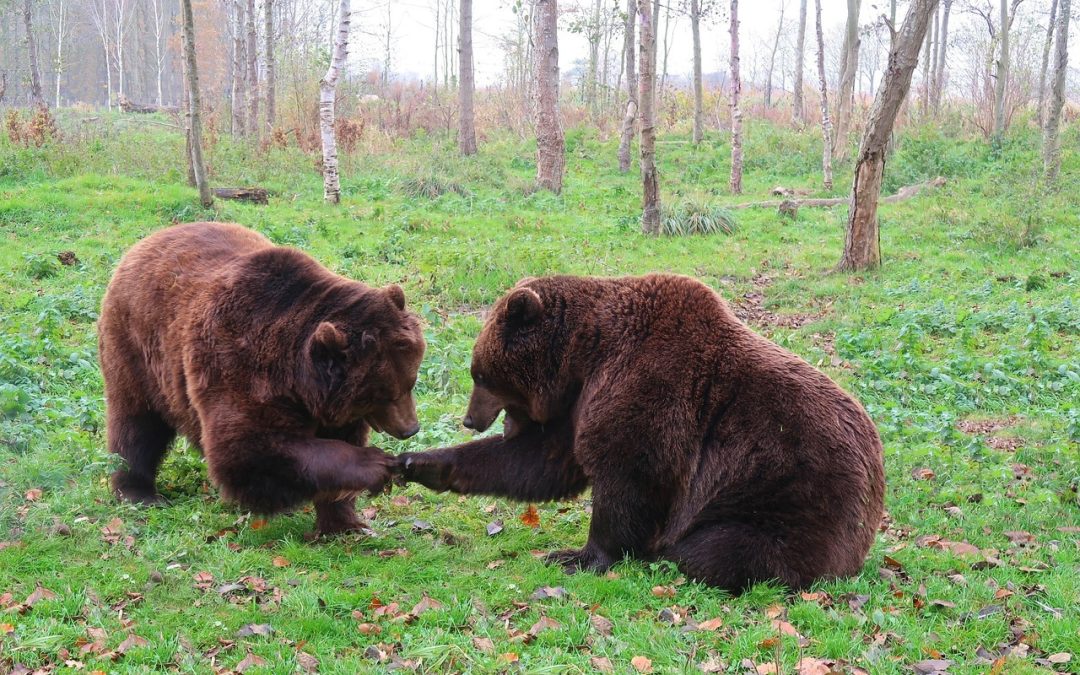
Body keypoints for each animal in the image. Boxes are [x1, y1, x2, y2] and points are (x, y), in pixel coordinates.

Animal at [99, 223, 423, 533]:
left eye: (411, 381)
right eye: (383, 394)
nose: (410, 428)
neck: (298, 381)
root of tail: (144, 242)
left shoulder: (331, 406)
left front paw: (346, 523)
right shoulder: (239, 367)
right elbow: (249, 450)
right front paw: (375, 464)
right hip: (138, 350)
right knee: (137, 424)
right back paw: (138, 492)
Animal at [401, 274, 881, 587]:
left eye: (479, 374)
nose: (470, 419)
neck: (585, 354)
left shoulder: (648, 389)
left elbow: (630, 476)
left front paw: (577, 555)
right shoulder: (581, 404)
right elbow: (541, 462)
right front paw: (419, 462)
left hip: (787, 497)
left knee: (716, 551)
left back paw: (671, 553)